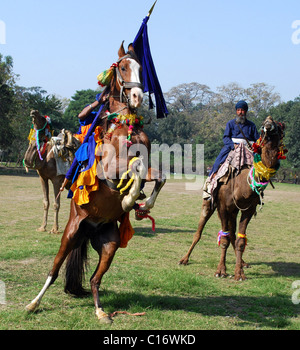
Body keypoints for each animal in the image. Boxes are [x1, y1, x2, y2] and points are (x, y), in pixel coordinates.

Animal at [25, 42, 166, 324]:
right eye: (123, 67)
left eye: (141, 68)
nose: (137, 97)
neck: (125, 126)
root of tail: (88, 230)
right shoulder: (110, 170)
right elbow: (136, 166)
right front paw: (130, 198)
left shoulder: (146, 166)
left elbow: (158, 174)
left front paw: (143, 205)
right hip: (70, 234)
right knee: (53, 271)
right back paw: (34, 303)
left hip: (109, 244)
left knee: (94, 279)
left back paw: (101, 312)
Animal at [179, 117, 284, 282]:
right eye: (263, 128)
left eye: (280, 127)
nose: (269, 123)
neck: (242, 183)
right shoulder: (222, 207)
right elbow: (224, 238)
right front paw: (221, 271)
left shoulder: (249, 209)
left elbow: (240, 239)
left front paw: (239, 273)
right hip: (209, 204)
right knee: (199, 231)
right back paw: (184, 259)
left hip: (234, 211)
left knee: (233, 234)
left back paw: (244, 263)